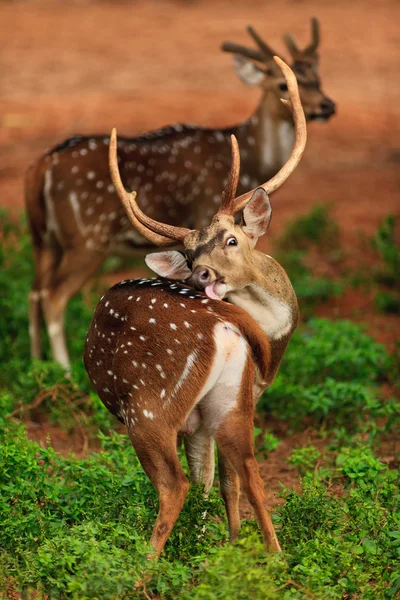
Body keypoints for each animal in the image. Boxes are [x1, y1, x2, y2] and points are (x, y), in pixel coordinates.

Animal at [23, 16, 332, 370]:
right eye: (283, 85)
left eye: (318, 78)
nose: (328, 105)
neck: (255, 162)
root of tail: (41, 166)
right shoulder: (202, 208)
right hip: (86, 240)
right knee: (53, 296)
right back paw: (65, 369)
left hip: (43, 239)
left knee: (33, 292)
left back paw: (36, 364)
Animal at [84, 58, 306, 556]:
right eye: (188, 256)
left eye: (232, 239)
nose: (201, 274)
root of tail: (221, 325)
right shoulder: (226, 411)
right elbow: (219, 482)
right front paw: (222, 547)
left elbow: (206, 481)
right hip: (227, 407)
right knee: (250, 472)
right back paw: (275, 556)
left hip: (149, 407)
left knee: (174, 485)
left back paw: (145, 566)